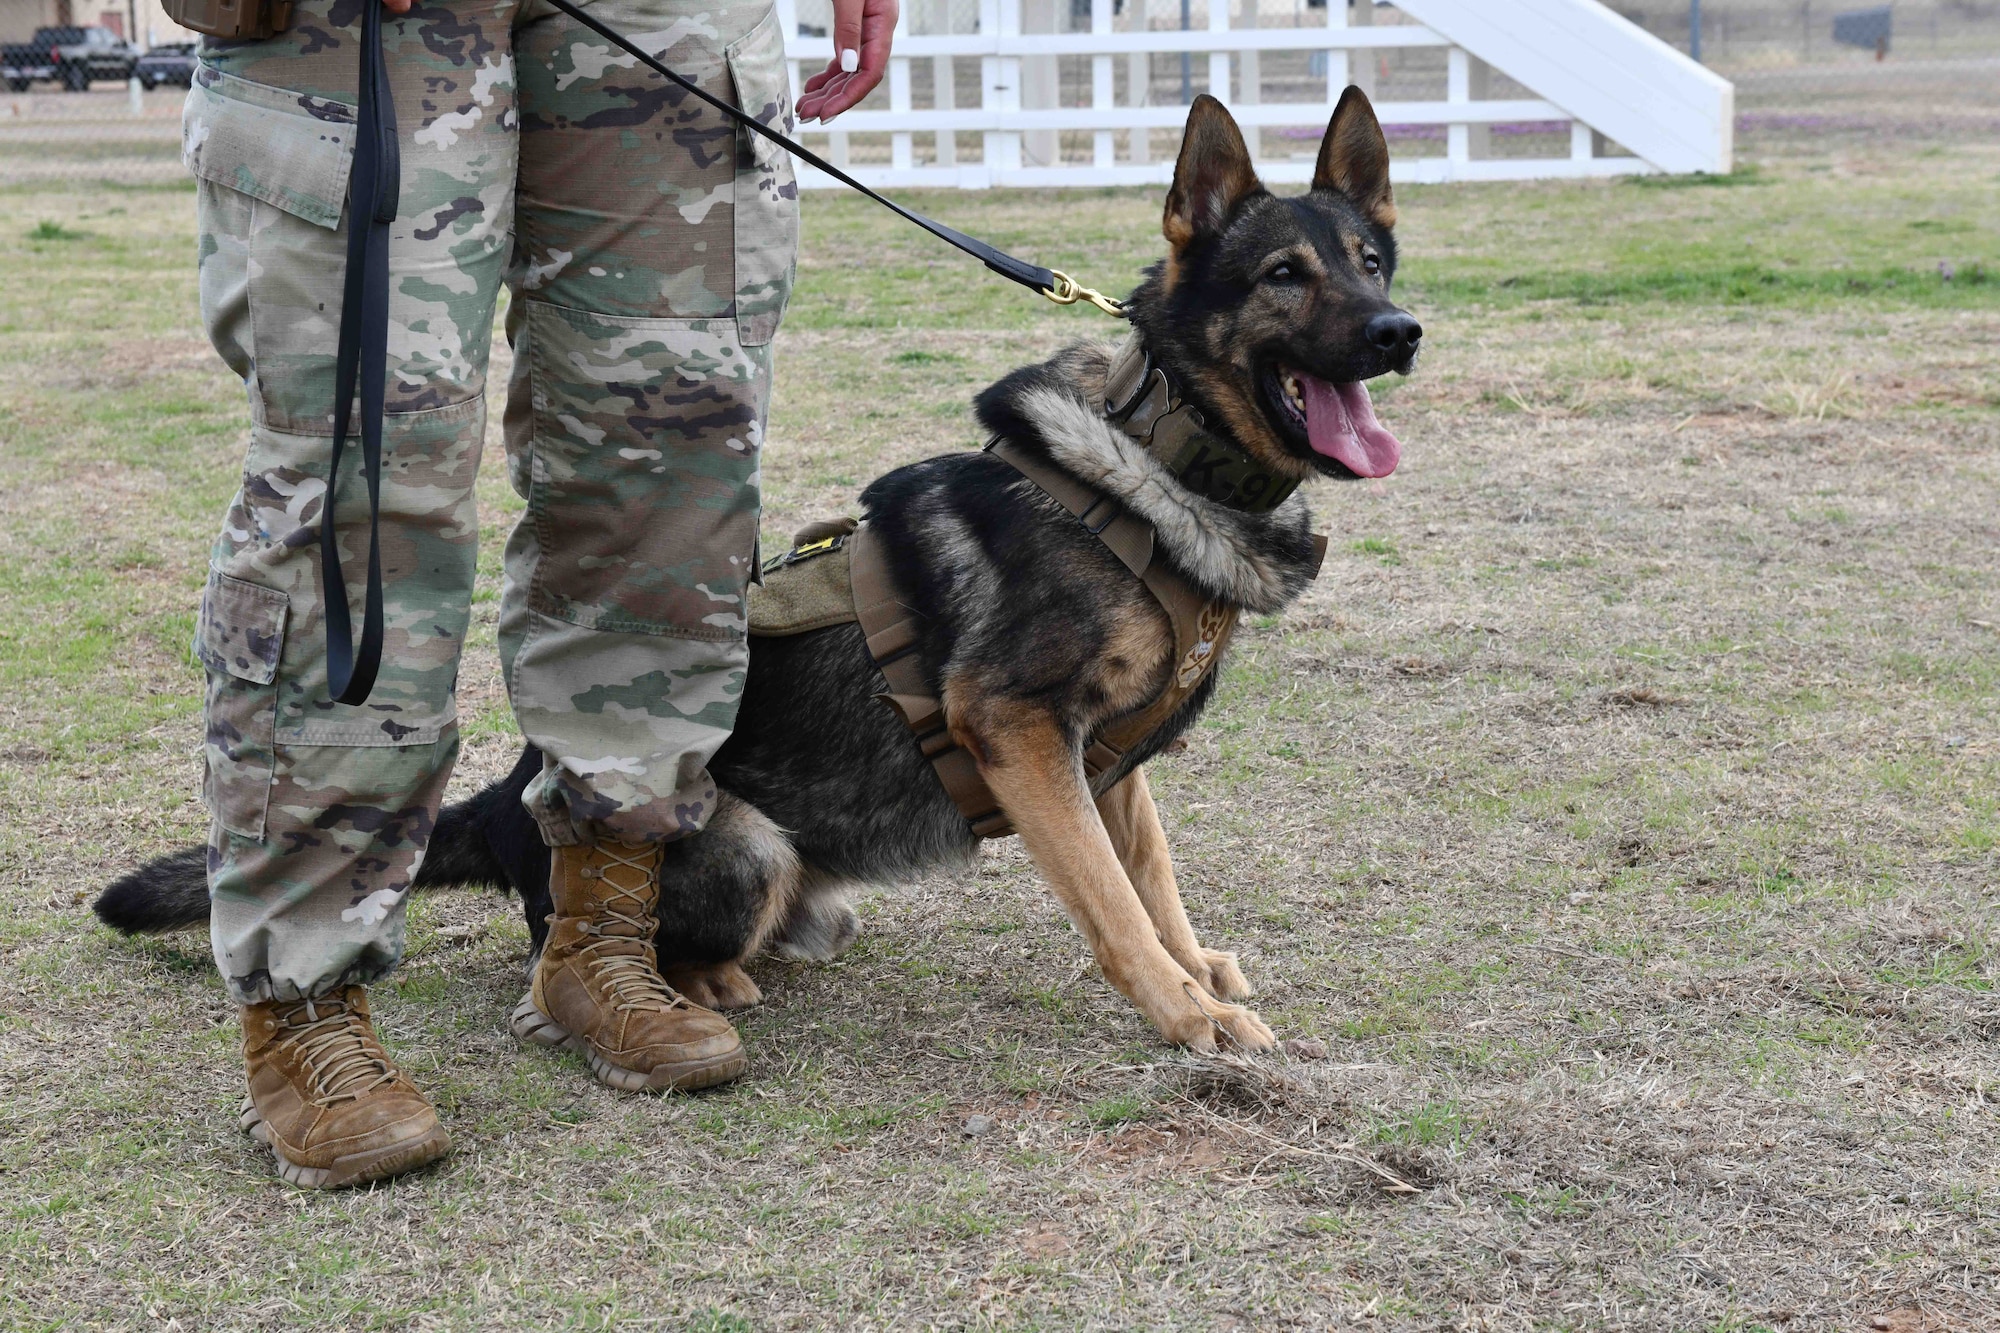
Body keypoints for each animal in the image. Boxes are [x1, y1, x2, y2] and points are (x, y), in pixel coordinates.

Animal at [97, 91, 1424, 1048]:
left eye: (1373, 260)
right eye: (1283, 275)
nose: (1400, 332)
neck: (1156, 462)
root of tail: (508, 794)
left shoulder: (1107, 756)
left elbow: (1150, 877)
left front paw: (1197, 970)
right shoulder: (1016, 728)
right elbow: (1107, 900)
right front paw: (1184, 1012)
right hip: (749, 843)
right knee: (579, 949)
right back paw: (691, 988)